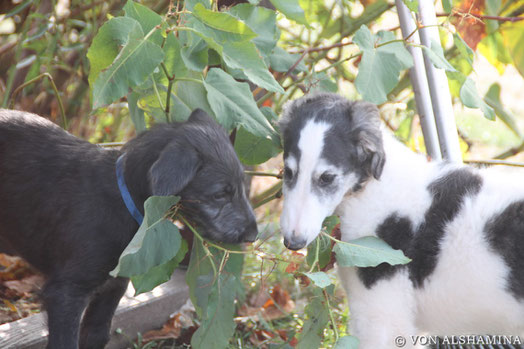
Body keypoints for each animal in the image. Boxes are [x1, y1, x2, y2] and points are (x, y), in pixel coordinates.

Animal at [0, 108, 256, 348]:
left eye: (243, 185)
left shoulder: (113, 287)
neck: (124, 200)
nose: (253, 235)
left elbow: (97, 334)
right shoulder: (66, 293)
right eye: (220, 194)